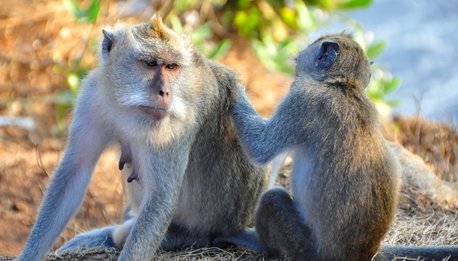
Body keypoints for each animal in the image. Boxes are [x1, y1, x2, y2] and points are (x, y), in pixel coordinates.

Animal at [15, 15, 264, 260]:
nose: (165, 92)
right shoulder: (93, 96)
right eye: (151, 63)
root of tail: (235, 224)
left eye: (171, 66)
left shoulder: (175, 124)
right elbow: (74, 171)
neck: (126, 105)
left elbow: (160, 197)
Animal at [226, 33, 458, 260]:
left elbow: (261, 148)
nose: (298, 60)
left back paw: (255, 242)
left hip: (306, 248)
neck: (342, 85)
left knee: (272, 199)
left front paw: (234, 89)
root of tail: (369, 252)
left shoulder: (302, 99)